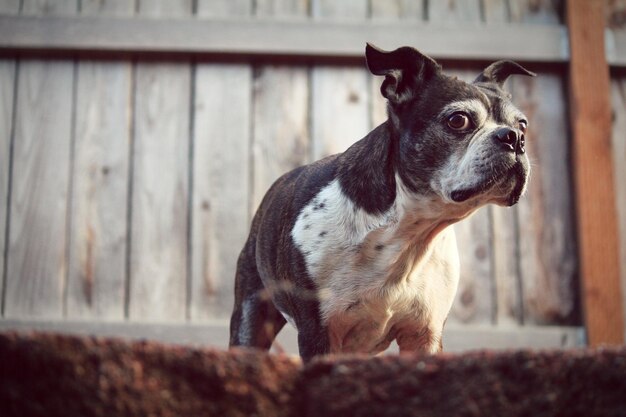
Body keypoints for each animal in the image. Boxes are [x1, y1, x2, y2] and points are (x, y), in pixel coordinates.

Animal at [228, 43, 532, 360]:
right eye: (458, 120)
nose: (514, 138)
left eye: (523, 124)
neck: (404, 233)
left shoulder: (425, 334)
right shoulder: (317, 334)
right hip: (251, 315)